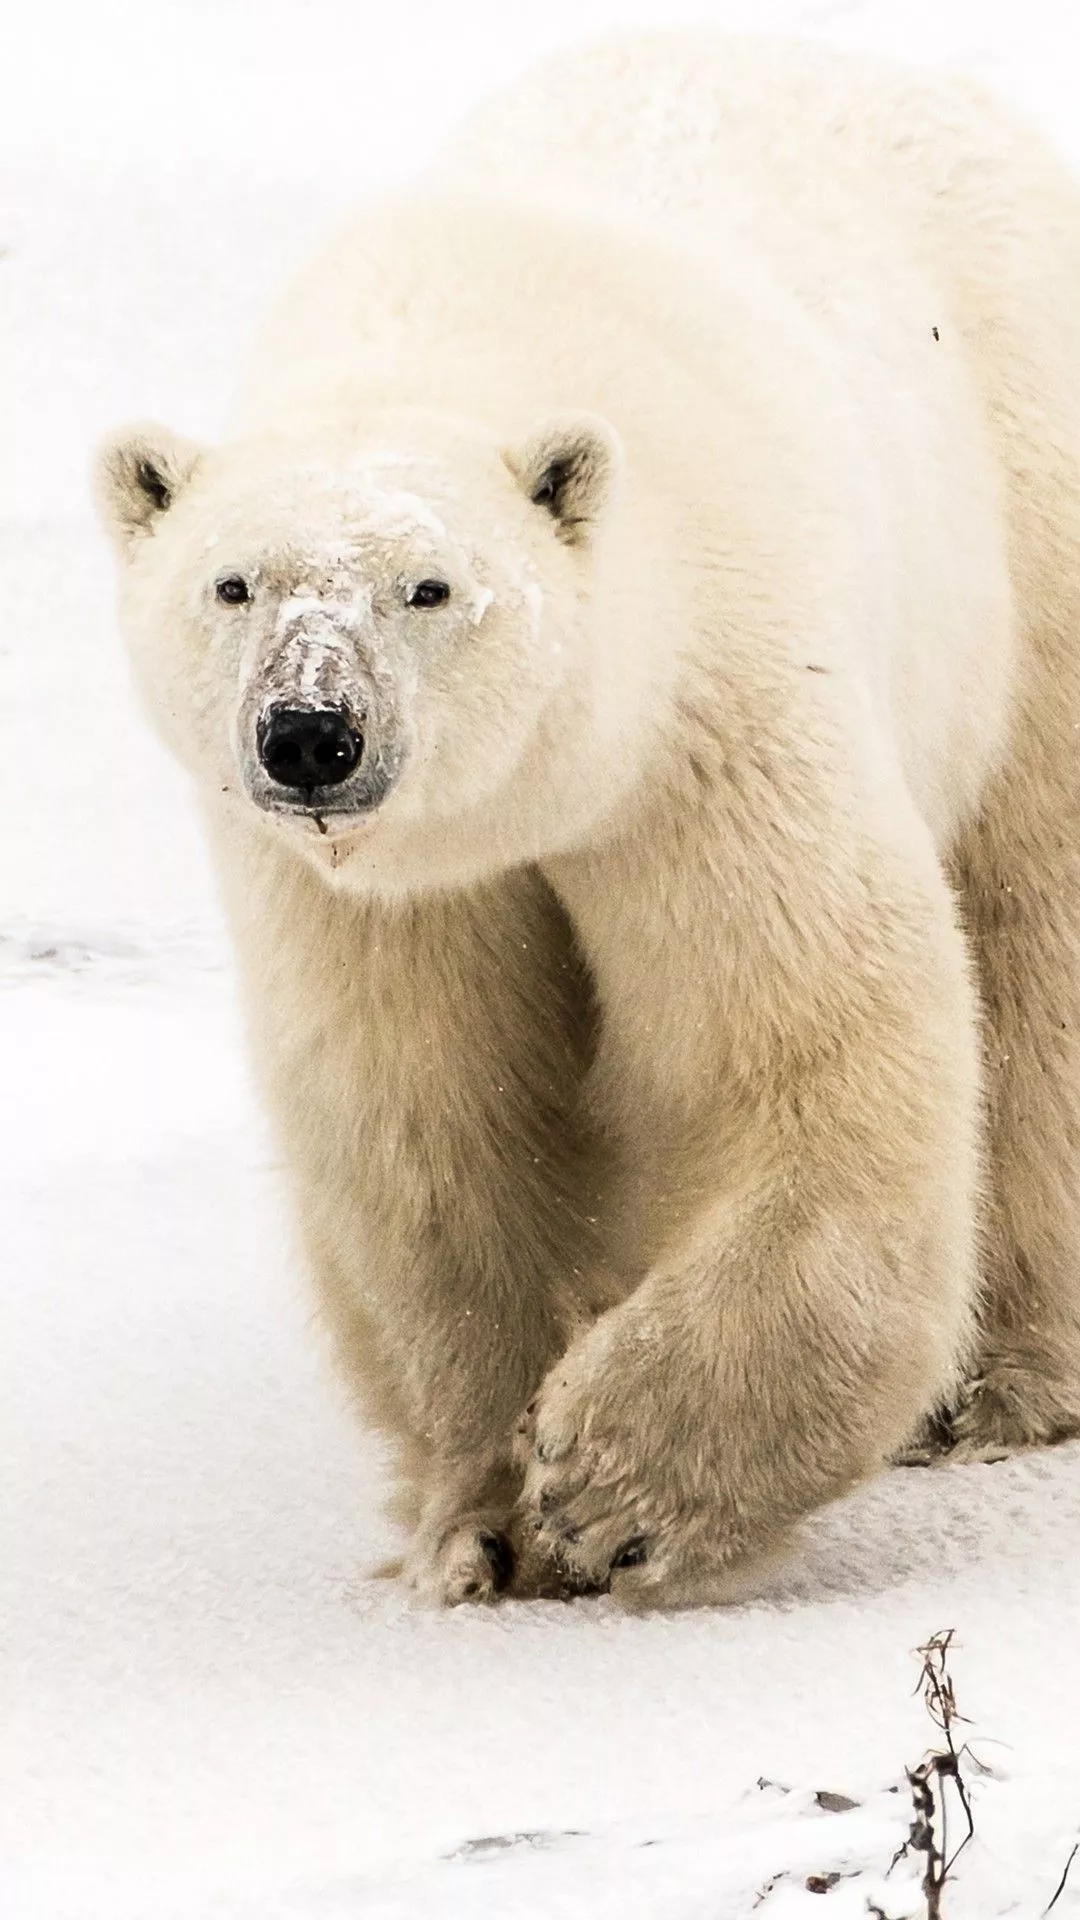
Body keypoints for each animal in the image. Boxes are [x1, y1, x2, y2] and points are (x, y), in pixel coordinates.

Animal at [96, 31, 1080, 1610]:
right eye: (232, 584)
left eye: (429, 586)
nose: (309, 736)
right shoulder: (375, 891)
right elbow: (431, 1120)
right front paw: (485, 1520)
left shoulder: (706, 716)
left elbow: (795, 1049)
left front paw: (616, 1485)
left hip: (1024, 515)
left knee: (1033, 935)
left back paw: (1002, 1387)